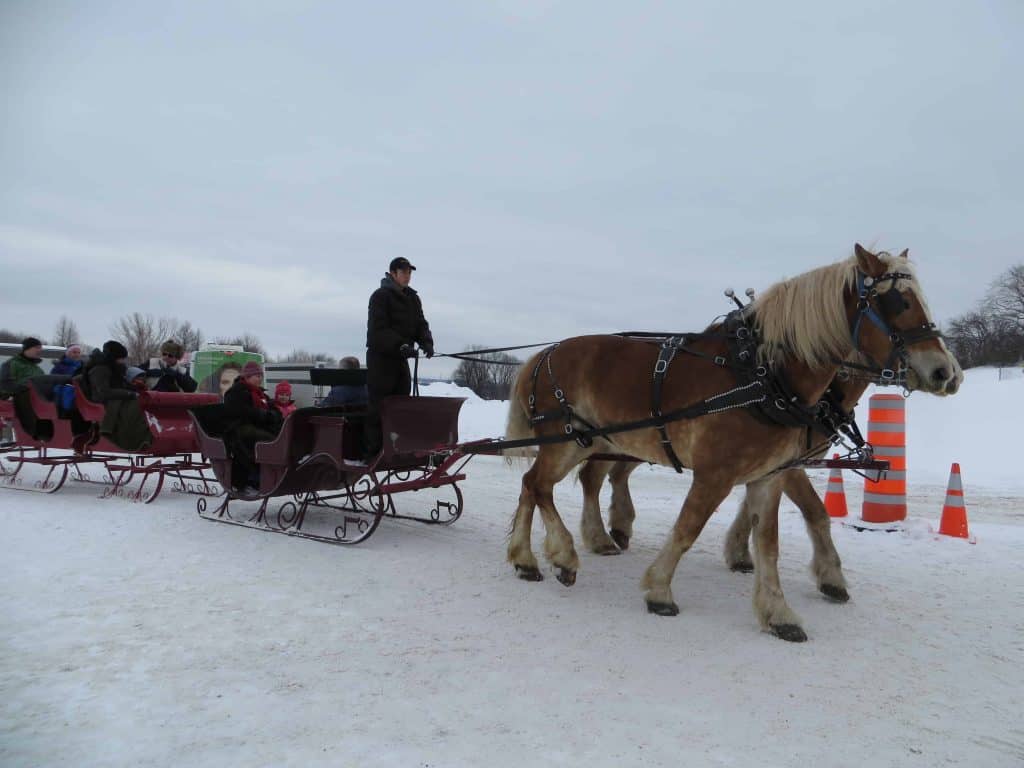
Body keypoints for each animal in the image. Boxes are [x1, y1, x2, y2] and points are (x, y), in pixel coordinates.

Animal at [503, 243, 958, 638]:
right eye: (898, 302)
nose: (945, 372)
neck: (763, 376)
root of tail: (543, 354)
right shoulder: (716, 474)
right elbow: (689, 528)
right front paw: (659, 590)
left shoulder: (770, 474)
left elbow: (770, 542)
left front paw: (778, 611)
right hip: (567, 442)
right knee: (542, 485)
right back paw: (564, 554)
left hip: (597, 442)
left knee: (538, 484)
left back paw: (529, 558)